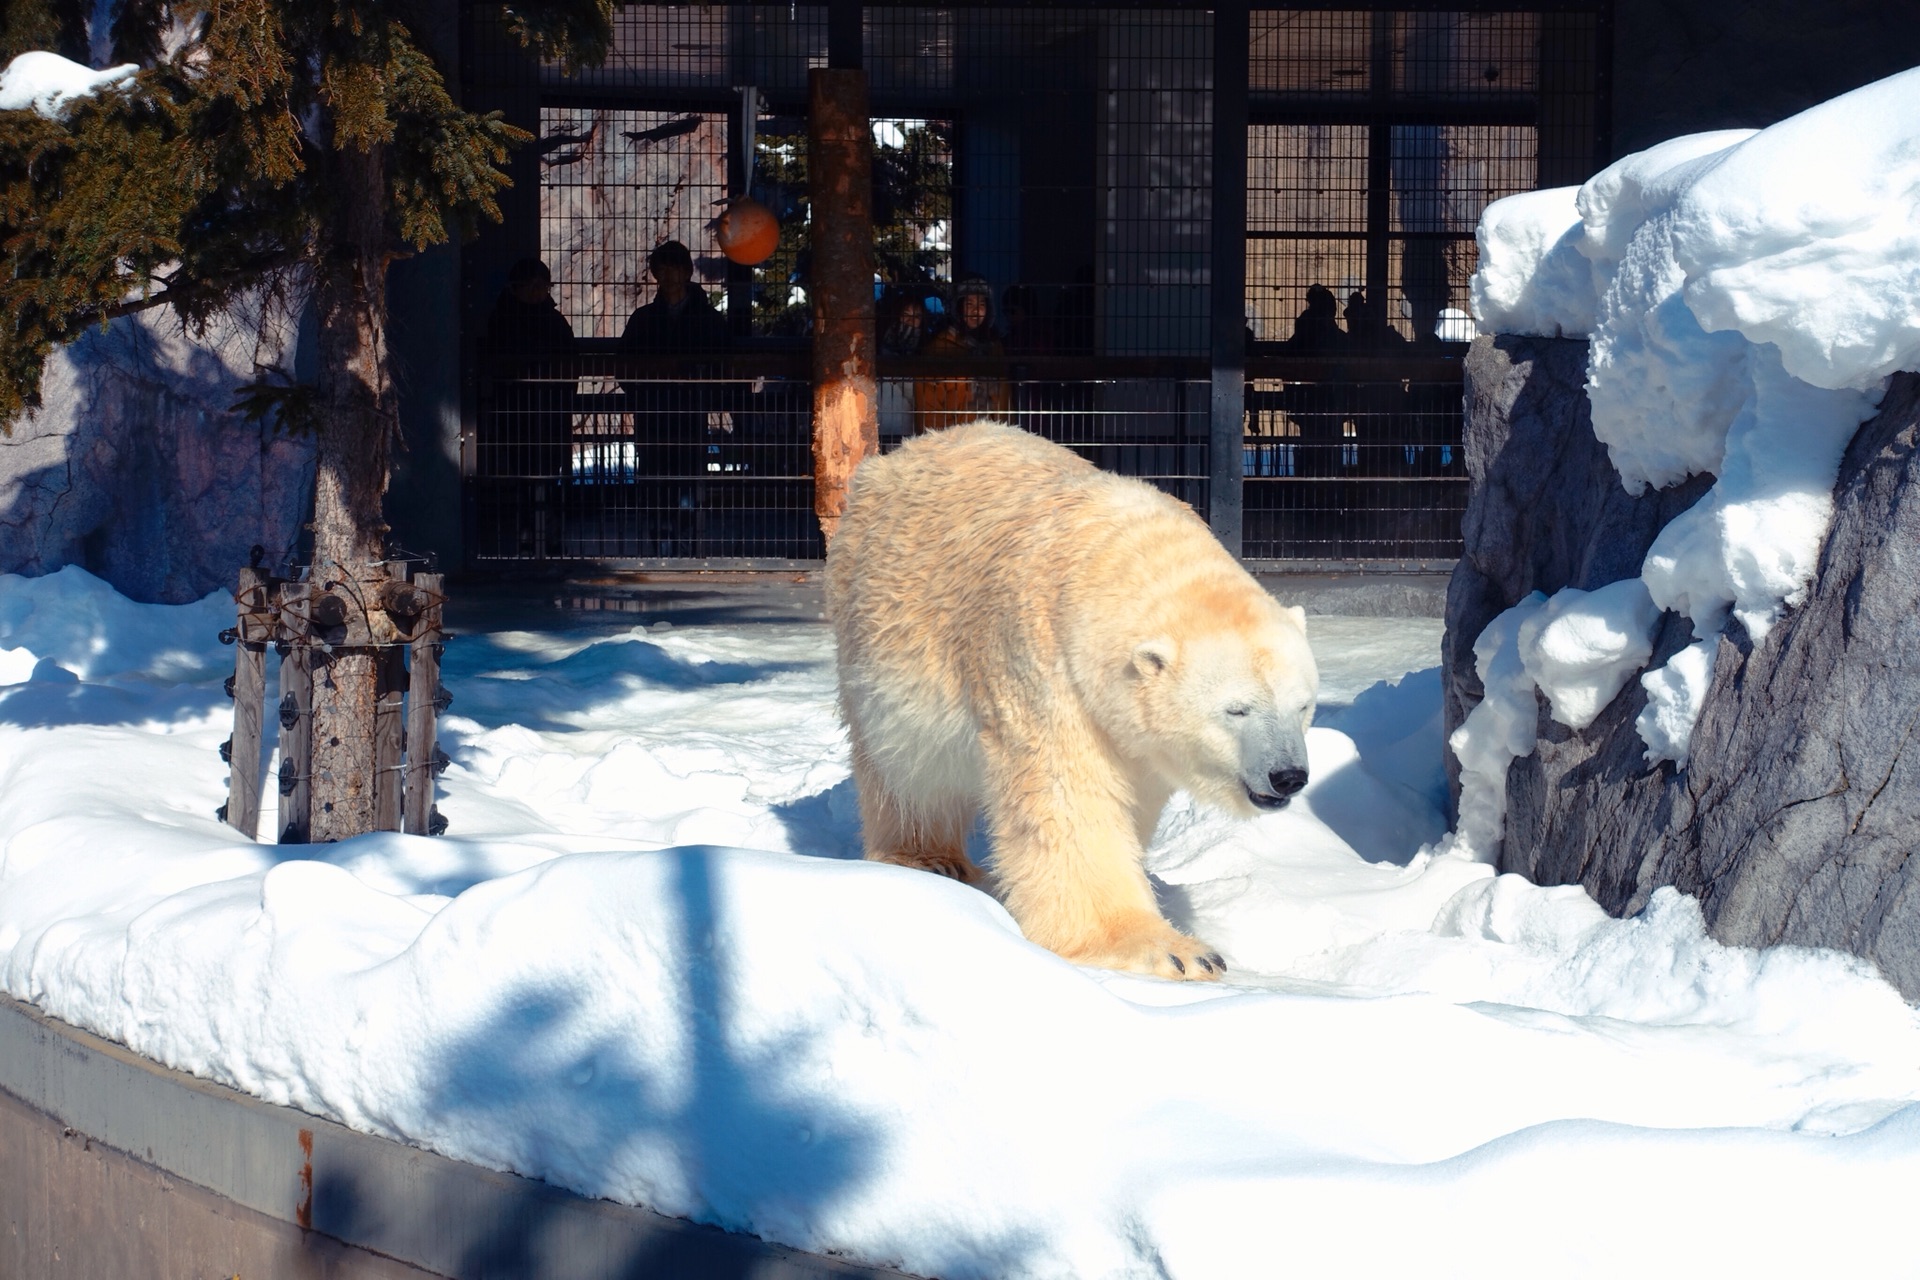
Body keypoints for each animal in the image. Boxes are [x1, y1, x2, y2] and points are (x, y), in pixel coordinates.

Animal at [825, 420, 1320, 982]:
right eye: (1236, 709)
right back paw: (928, 858)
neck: (1114, 555)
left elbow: (1130, 797)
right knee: (907, 766)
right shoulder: (1041, 664)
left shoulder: (1130, 733)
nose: (1288, 776)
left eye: (1302, 705)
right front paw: (1175, 951)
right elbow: (1066, 800)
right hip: (877, 630)